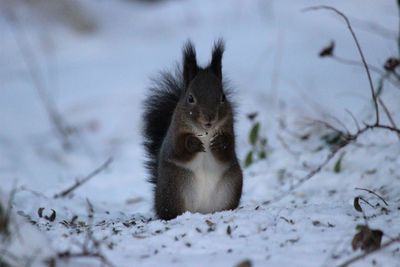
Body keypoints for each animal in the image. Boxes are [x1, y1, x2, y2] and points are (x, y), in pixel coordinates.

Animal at [144, 39, 244, 220]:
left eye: (223, 97)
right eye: (190, 98)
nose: (209, 118)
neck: (206, 132)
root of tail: (201, 211)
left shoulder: (229, 129)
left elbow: (228, 151)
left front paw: (219, 143)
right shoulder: (174, 135)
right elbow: (178, 149)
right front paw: (193, 143)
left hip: (232, 183)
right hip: (175, 187)